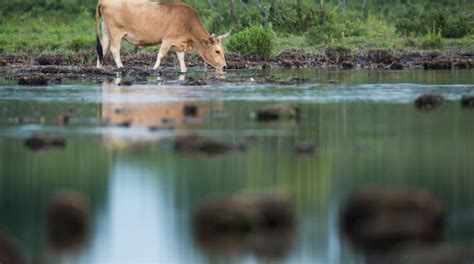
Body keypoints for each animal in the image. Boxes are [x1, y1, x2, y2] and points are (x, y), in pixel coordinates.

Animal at [95, 0, 229, 72]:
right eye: (217, 51)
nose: (224, 66)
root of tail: (104, 1)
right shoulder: (168, 39)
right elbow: (161, 55)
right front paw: (154, 68)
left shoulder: (179, 42)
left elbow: (181, 58)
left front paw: (183, 70)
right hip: (116, 32)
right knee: (114, 49)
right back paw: (121, 67)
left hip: (106, 32)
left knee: (102, 49)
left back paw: (99, 68)